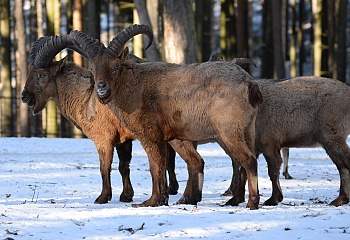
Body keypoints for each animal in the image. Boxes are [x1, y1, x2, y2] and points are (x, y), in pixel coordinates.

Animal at [20, 37, 179, 204]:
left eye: (42, 75)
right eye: (30, 72)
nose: (24, 96)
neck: (86, 98)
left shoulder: (103, 138)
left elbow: (104, 167)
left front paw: (103, 197)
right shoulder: (123, 139)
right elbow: (123, 166)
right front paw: (126, 195)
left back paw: (171, 189)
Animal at [68, 24, 262, 208]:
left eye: (115, 66)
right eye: (92, 68)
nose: (101, 87)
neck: (134, 87)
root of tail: (248, 82)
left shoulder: (150, 137)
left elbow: (155, 167)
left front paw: (151, 201)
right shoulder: (168, 138)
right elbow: (162, 167)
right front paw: (162, 199)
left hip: (229, 132)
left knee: (248, 160)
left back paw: (252, 202)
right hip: (247, 130)